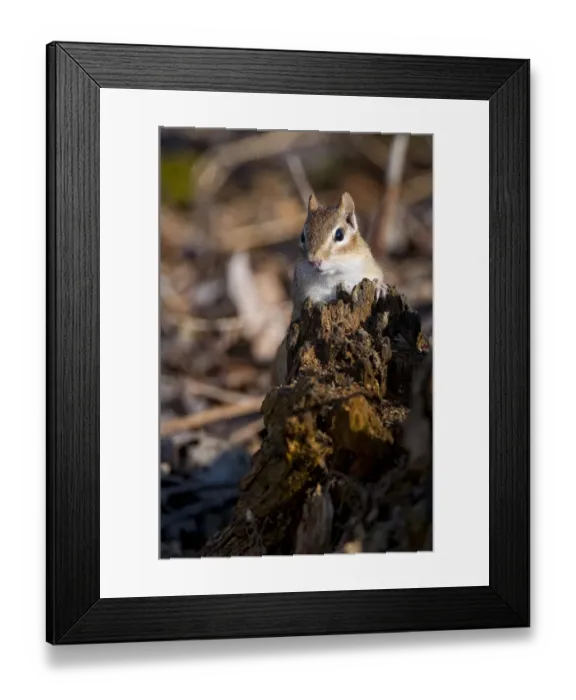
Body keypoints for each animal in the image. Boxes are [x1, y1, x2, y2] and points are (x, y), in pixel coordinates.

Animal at [271, 191, 387, 386]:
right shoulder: (304, 291)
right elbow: (312, 301)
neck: (335, 274)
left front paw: (380, 286)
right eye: (303, 236)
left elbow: (378, 277)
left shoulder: (369, 267)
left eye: (339, 234)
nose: (314, 260)